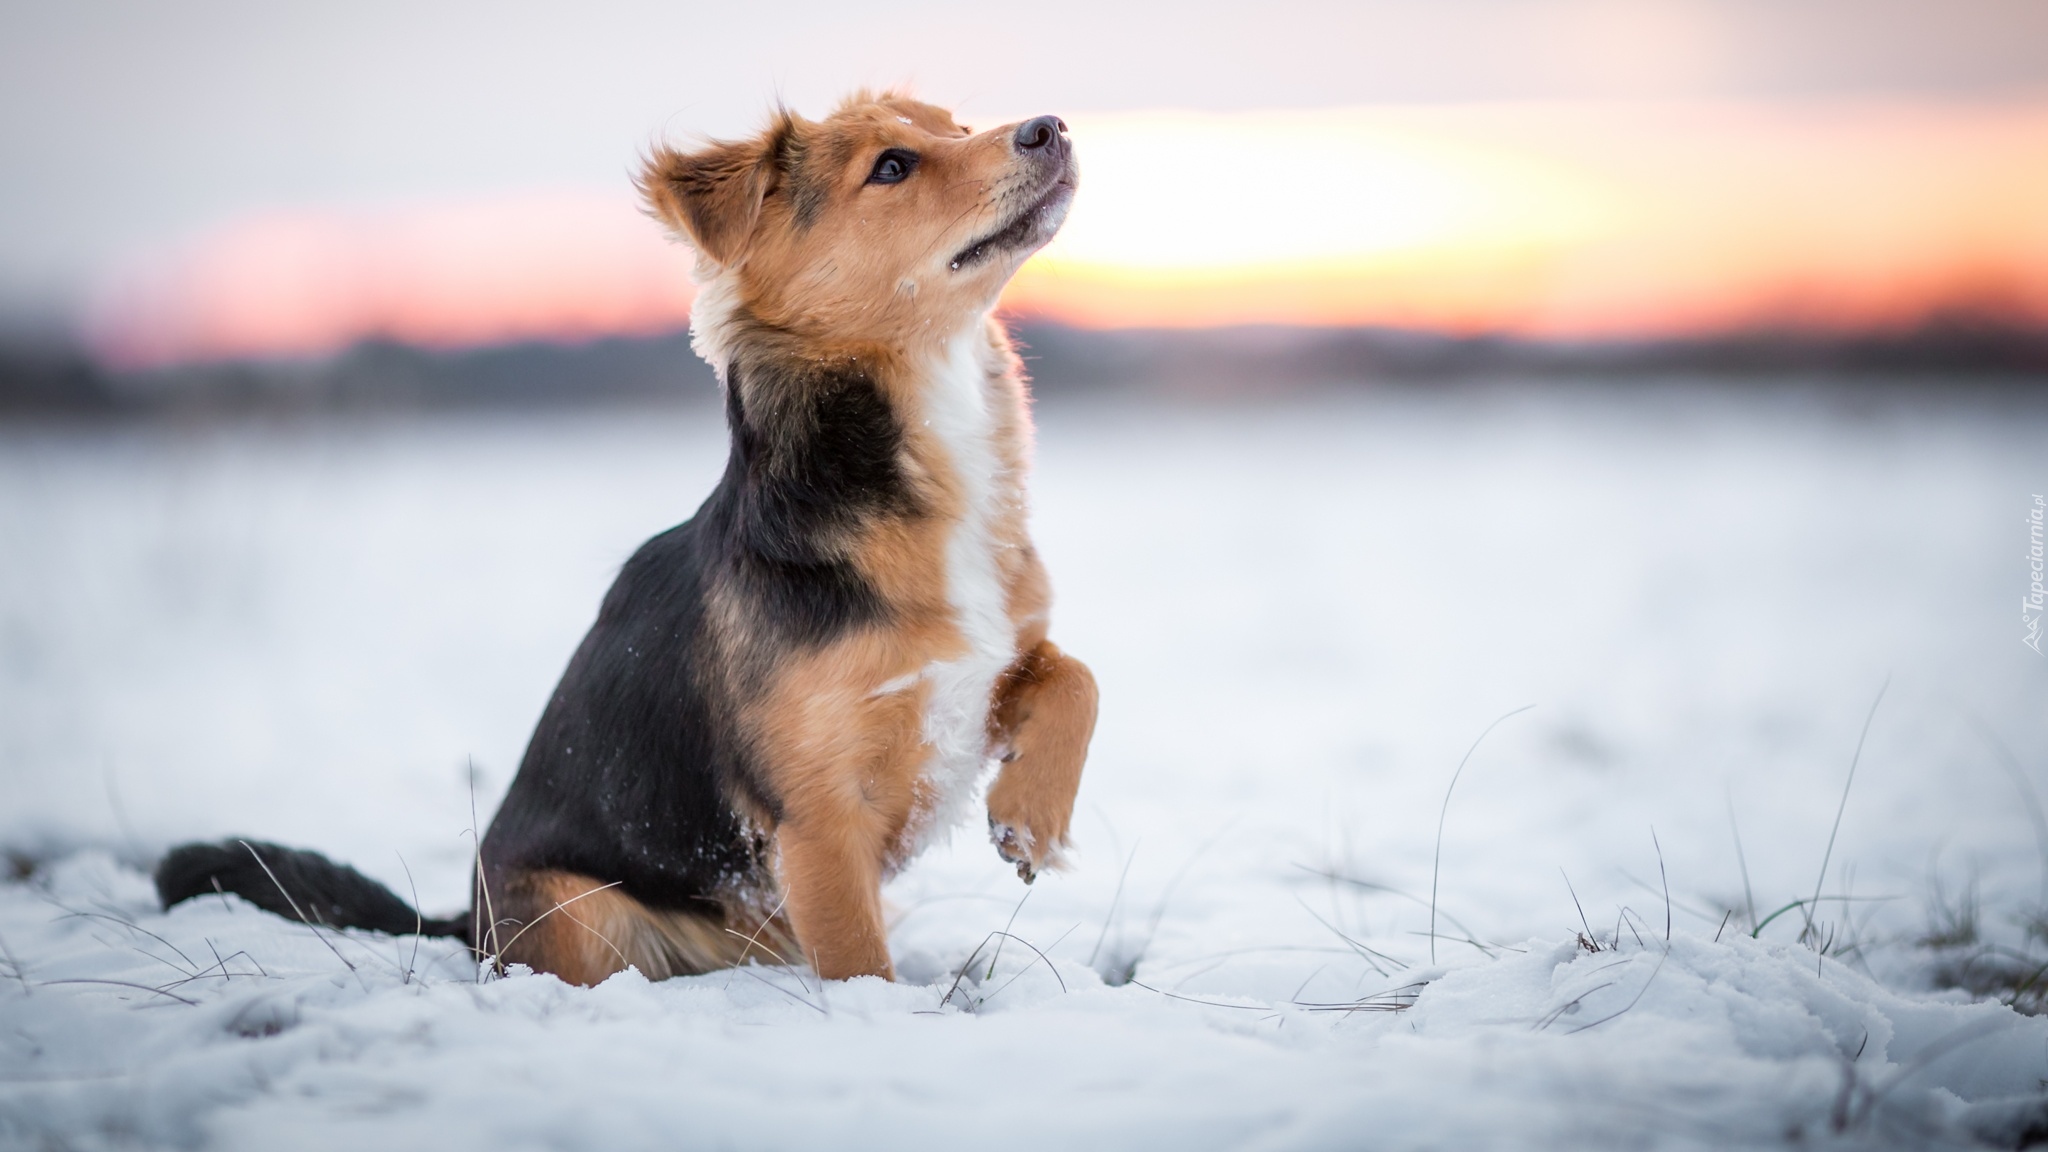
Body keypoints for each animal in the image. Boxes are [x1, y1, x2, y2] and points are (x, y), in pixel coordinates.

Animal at [151, 94, 1097, 983]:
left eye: (957, 125)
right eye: (893, 166)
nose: (1049, 127)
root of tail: (466, 923)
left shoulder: (986, 664)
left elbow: (1075, 677)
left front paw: (1030, 817)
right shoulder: (819, 818)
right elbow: (861, 962)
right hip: (585, 911)